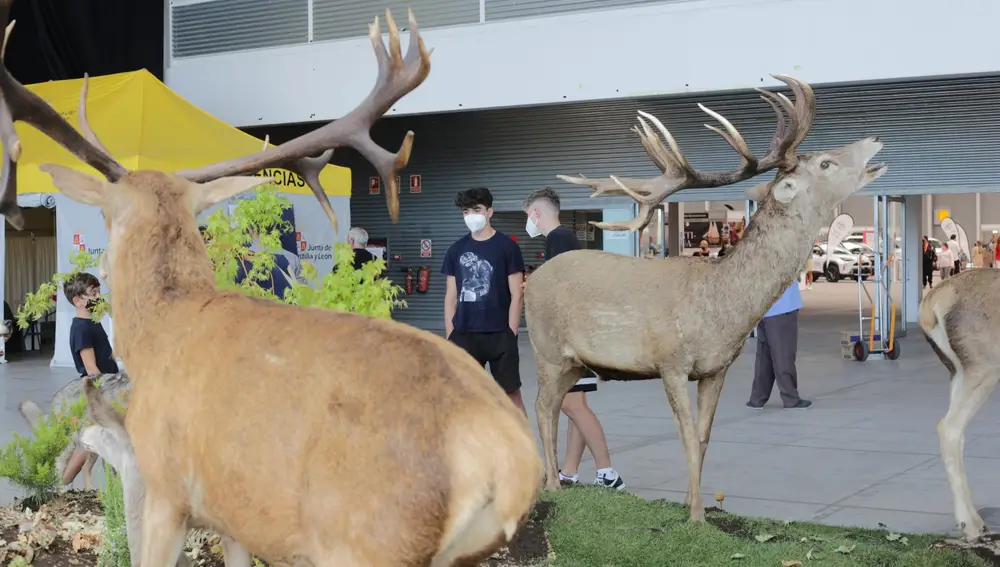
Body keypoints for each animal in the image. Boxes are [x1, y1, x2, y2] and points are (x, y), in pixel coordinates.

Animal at [0, 5, 540, 567]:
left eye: (106, 215)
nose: (98, 268)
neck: (158, 332)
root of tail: (510, 460)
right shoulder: (234, 513)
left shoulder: (162, 485)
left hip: (367, 540)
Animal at [528, 76, 888, 524]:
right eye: (825, 164)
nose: (875, 139)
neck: (719, 312)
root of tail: (530, 280)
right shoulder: (671, 362)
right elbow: (685, 435)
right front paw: (697, 514)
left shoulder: (716, 369)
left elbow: (703, 436)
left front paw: (690, 503)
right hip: (546, 350)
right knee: (541, 407)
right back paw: (552, 486)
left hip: (575, 363)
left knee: (553, 406)